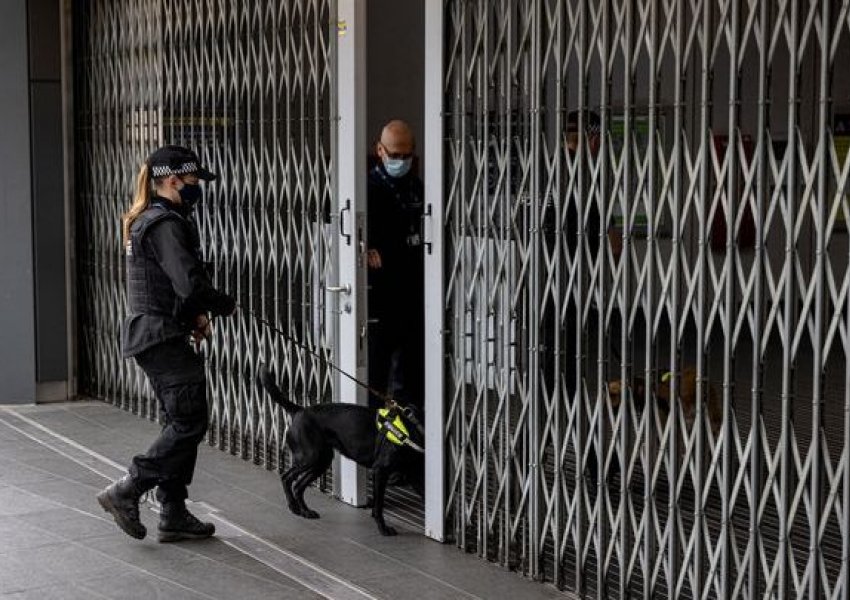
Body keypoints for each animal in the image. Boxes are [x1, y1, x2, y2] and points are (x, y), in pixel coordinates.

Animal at [253, 368, 422, 536]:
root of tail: (300, 410)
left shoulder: (414, 476)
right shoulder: (380, 471)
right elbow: (379, 504)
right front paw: (383, 528)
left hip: (322, 461)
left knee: (298, 486)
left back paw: (306, 511)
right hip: (310, 457)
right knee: (286, 478)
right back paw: (294, 507)